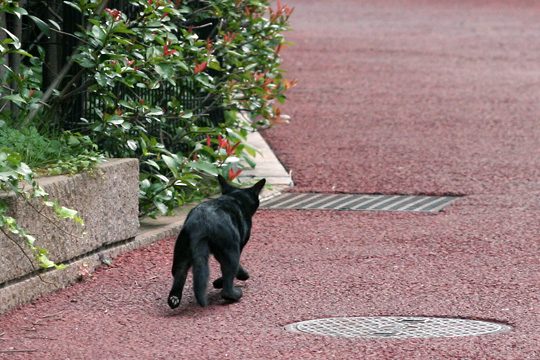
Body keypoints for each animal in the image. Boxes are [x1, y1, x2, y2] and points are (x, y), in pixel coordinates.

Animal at [167, 176, 264, 308]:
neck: (235, 198)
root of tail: (199, 224)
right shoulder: (236, 247)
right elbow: (236, 269)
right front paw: (224, 281)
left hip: (182, 252)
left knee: (179, 273)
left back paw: (174, 299)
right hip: (231, 250)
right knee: (227, 284)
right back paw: (235, 294)